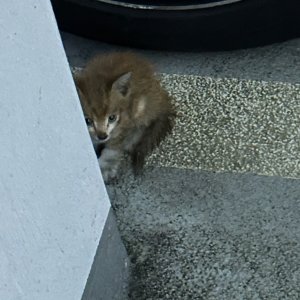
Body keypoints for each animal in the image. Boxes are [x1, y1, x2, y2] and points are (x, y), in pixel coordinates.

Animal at [73, 52, 175, 183]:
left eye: (112, 118)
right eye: (87, 121)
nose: (102, 136)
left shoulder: (125, 122)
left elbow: (113, 147)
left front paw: (105, 167)